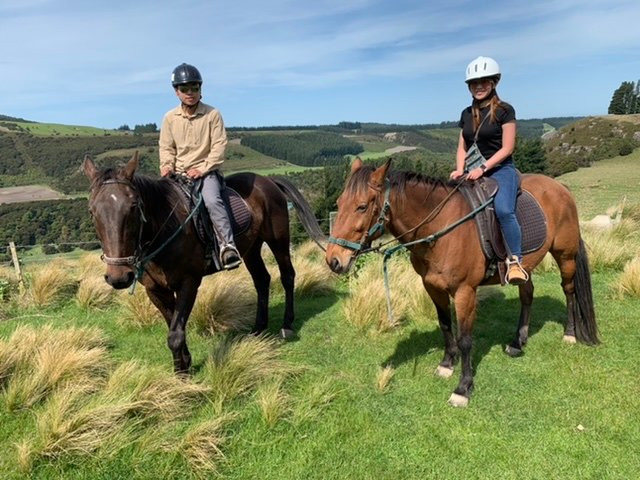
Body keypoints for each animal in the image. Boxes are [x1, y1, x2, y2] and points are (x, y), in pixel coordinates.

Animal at [83, 152, 324, 373]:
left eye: (134, 206)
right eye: (92, 211)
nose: (119, 277)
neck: (166, 226)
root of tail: (268, 181)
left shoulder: (189, 283)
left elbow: (175, 334)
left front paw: (182, 375)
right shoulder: (156, 290)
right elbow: (174, 326)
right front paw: (183, 364)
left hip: (278, 241)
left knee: (287, 276)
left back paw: (286, 325)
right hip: (252, 249)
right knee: (262, 280)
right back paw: (258, 329)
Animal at [326, 158, 598, 407]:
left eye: (362, 207)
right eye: (339, 204)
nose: (333, 260)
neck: (440, 229)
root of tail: (560, 187)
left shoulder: (465, 291)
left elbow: (466, 340)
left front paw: (463, 388)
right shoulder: (432, 287)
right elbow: (446, 325)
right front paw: (447, 364)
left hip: (565, 256)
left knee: (569, 290)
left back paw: (570, 334)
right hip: (525, 266)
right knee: (527, 294)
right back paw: (517, 341)